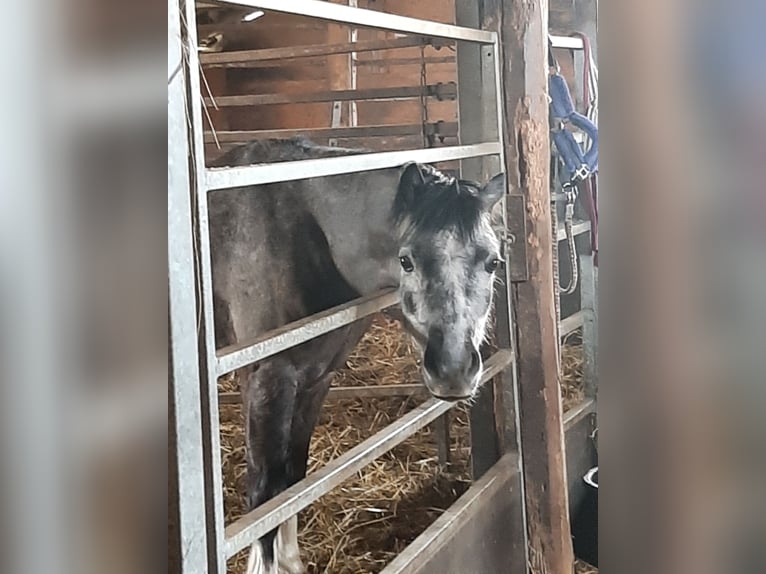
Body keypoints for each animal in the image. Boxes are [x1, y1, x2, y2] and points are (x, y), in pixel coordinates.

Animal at [210, 138, 508, 574]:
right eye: (406, 260)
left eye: (493, 261)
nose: (453, 370)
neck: (299, 227)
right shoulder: (266, 379)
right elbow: (265, 501)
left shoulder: (316, 378)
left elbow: (291, 482)